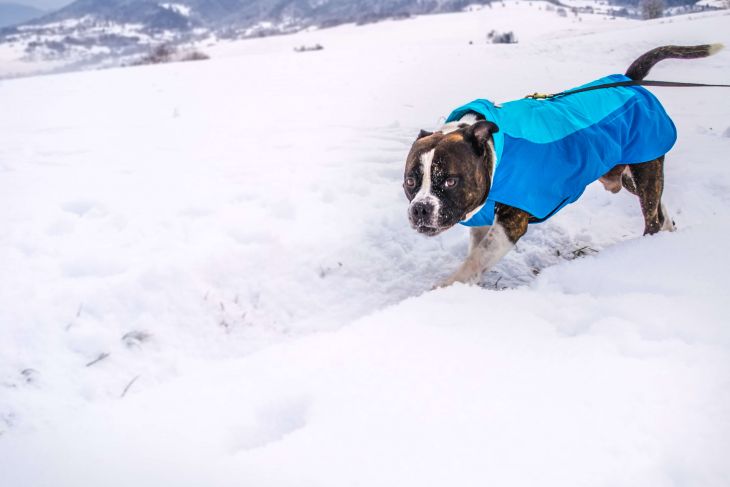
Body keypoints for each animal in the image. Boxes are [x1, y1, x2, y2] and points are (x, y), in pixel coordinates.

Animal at [404, 43, 724, 288]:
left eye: (449, 181)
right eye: (410, 181)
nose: (420, 209)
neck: (494, 154)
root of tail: (630, 81)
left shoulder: (511, 222)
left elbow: (477, 258)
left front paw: (445, 287)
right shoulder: (483, 216)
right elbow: (477, 254)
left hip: (645, 165)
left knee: (651, 216)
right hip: (631, 174)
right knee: (658, 205)